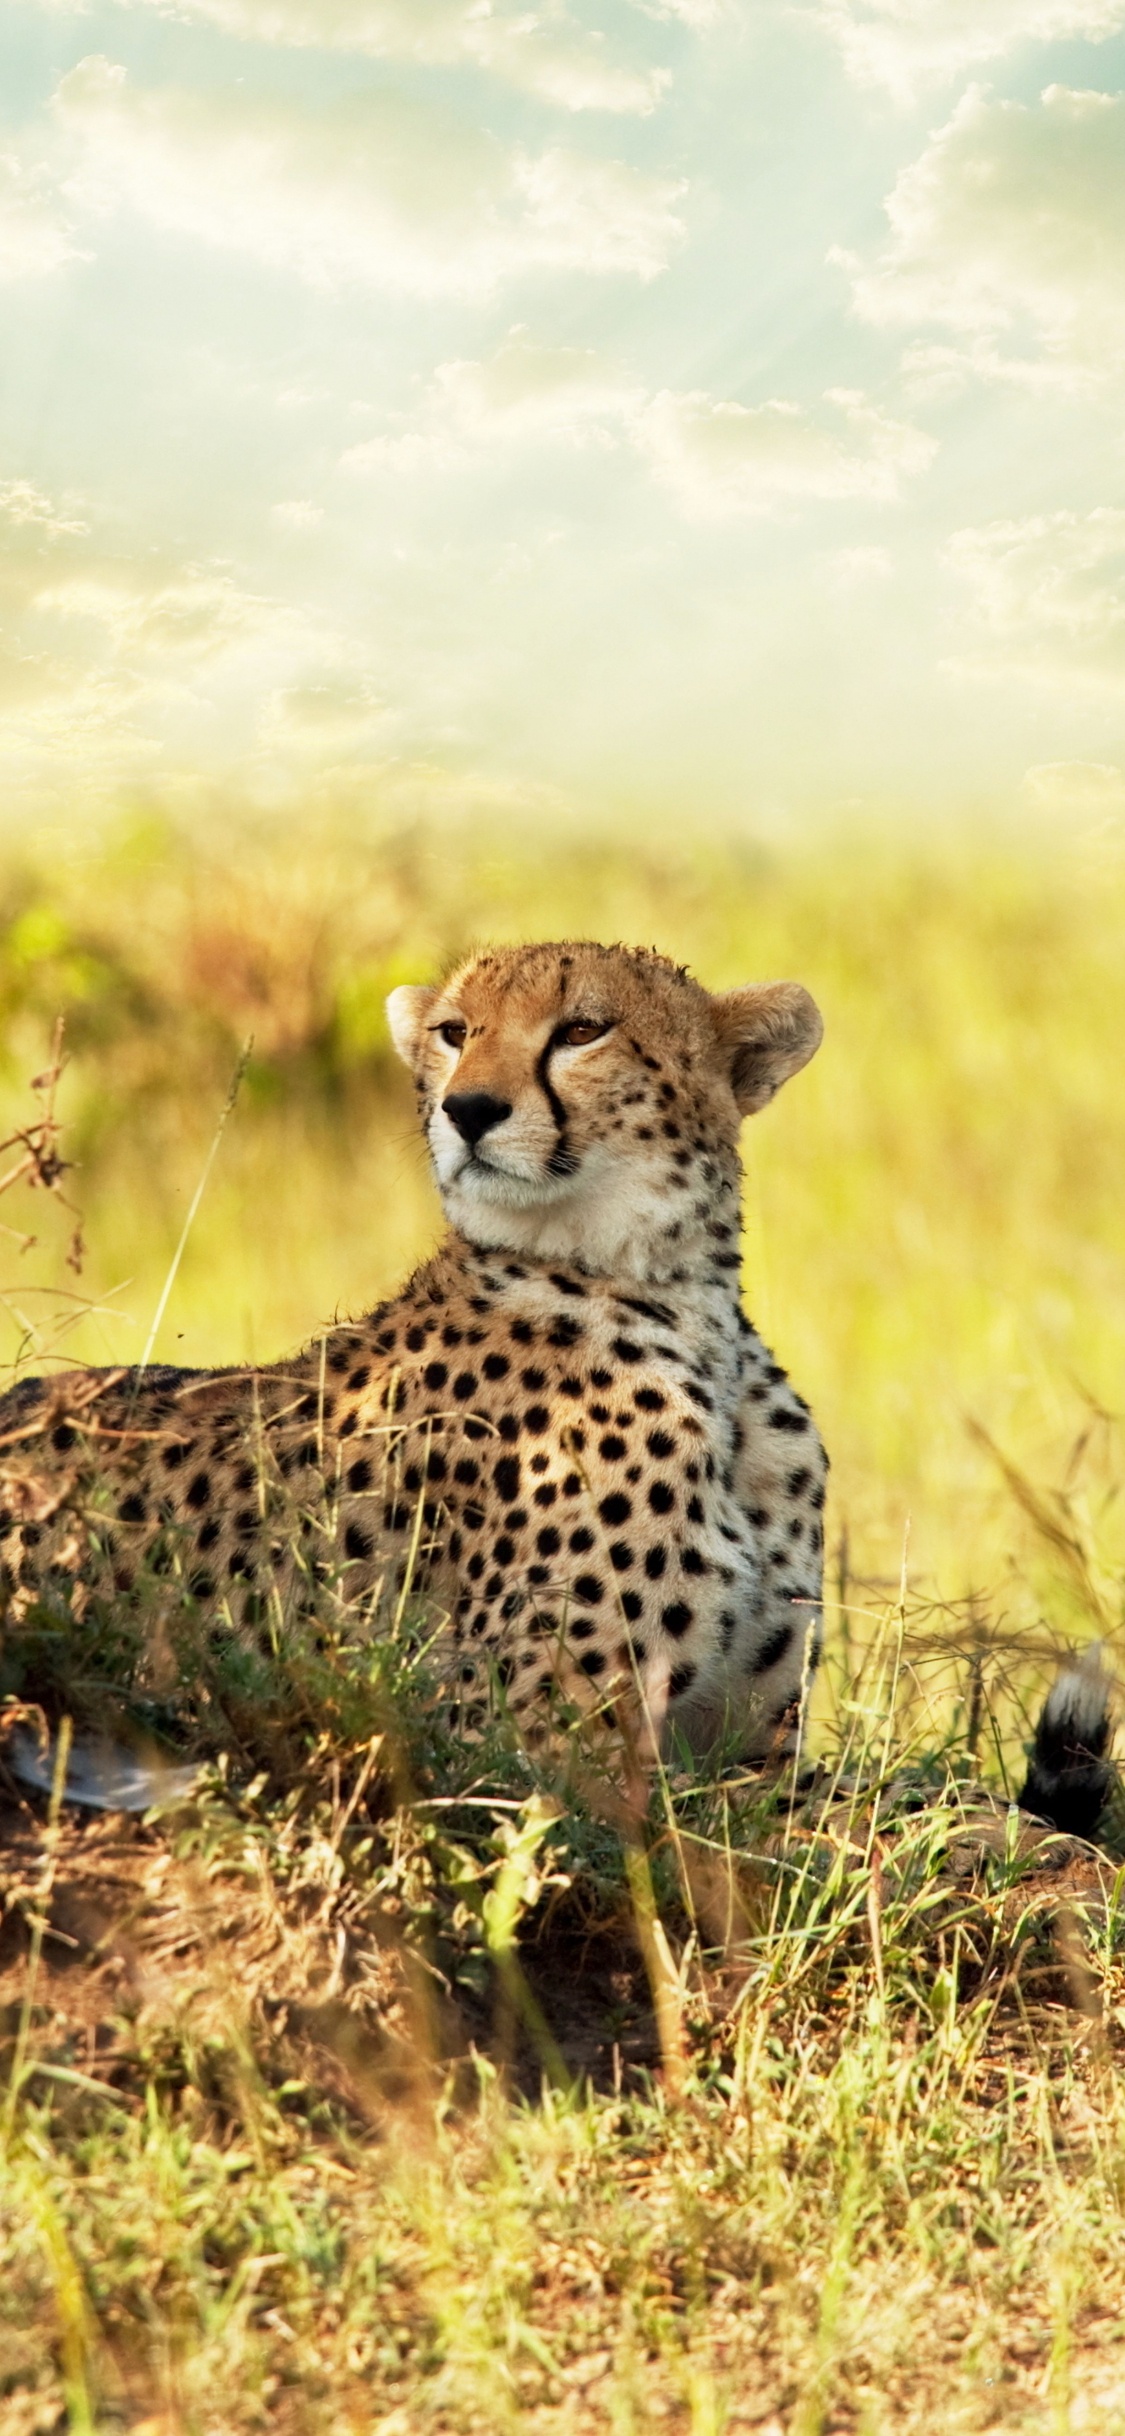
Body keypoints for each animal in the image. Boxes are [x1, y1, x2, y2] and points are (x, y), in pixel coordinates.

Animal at [0, 939, 830, 1767]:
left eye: (582, 1030)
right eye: (454, 1033)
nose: (468, 1109)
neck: (676, 1304)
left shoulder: (753, 1744)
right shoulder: (514, 1744)